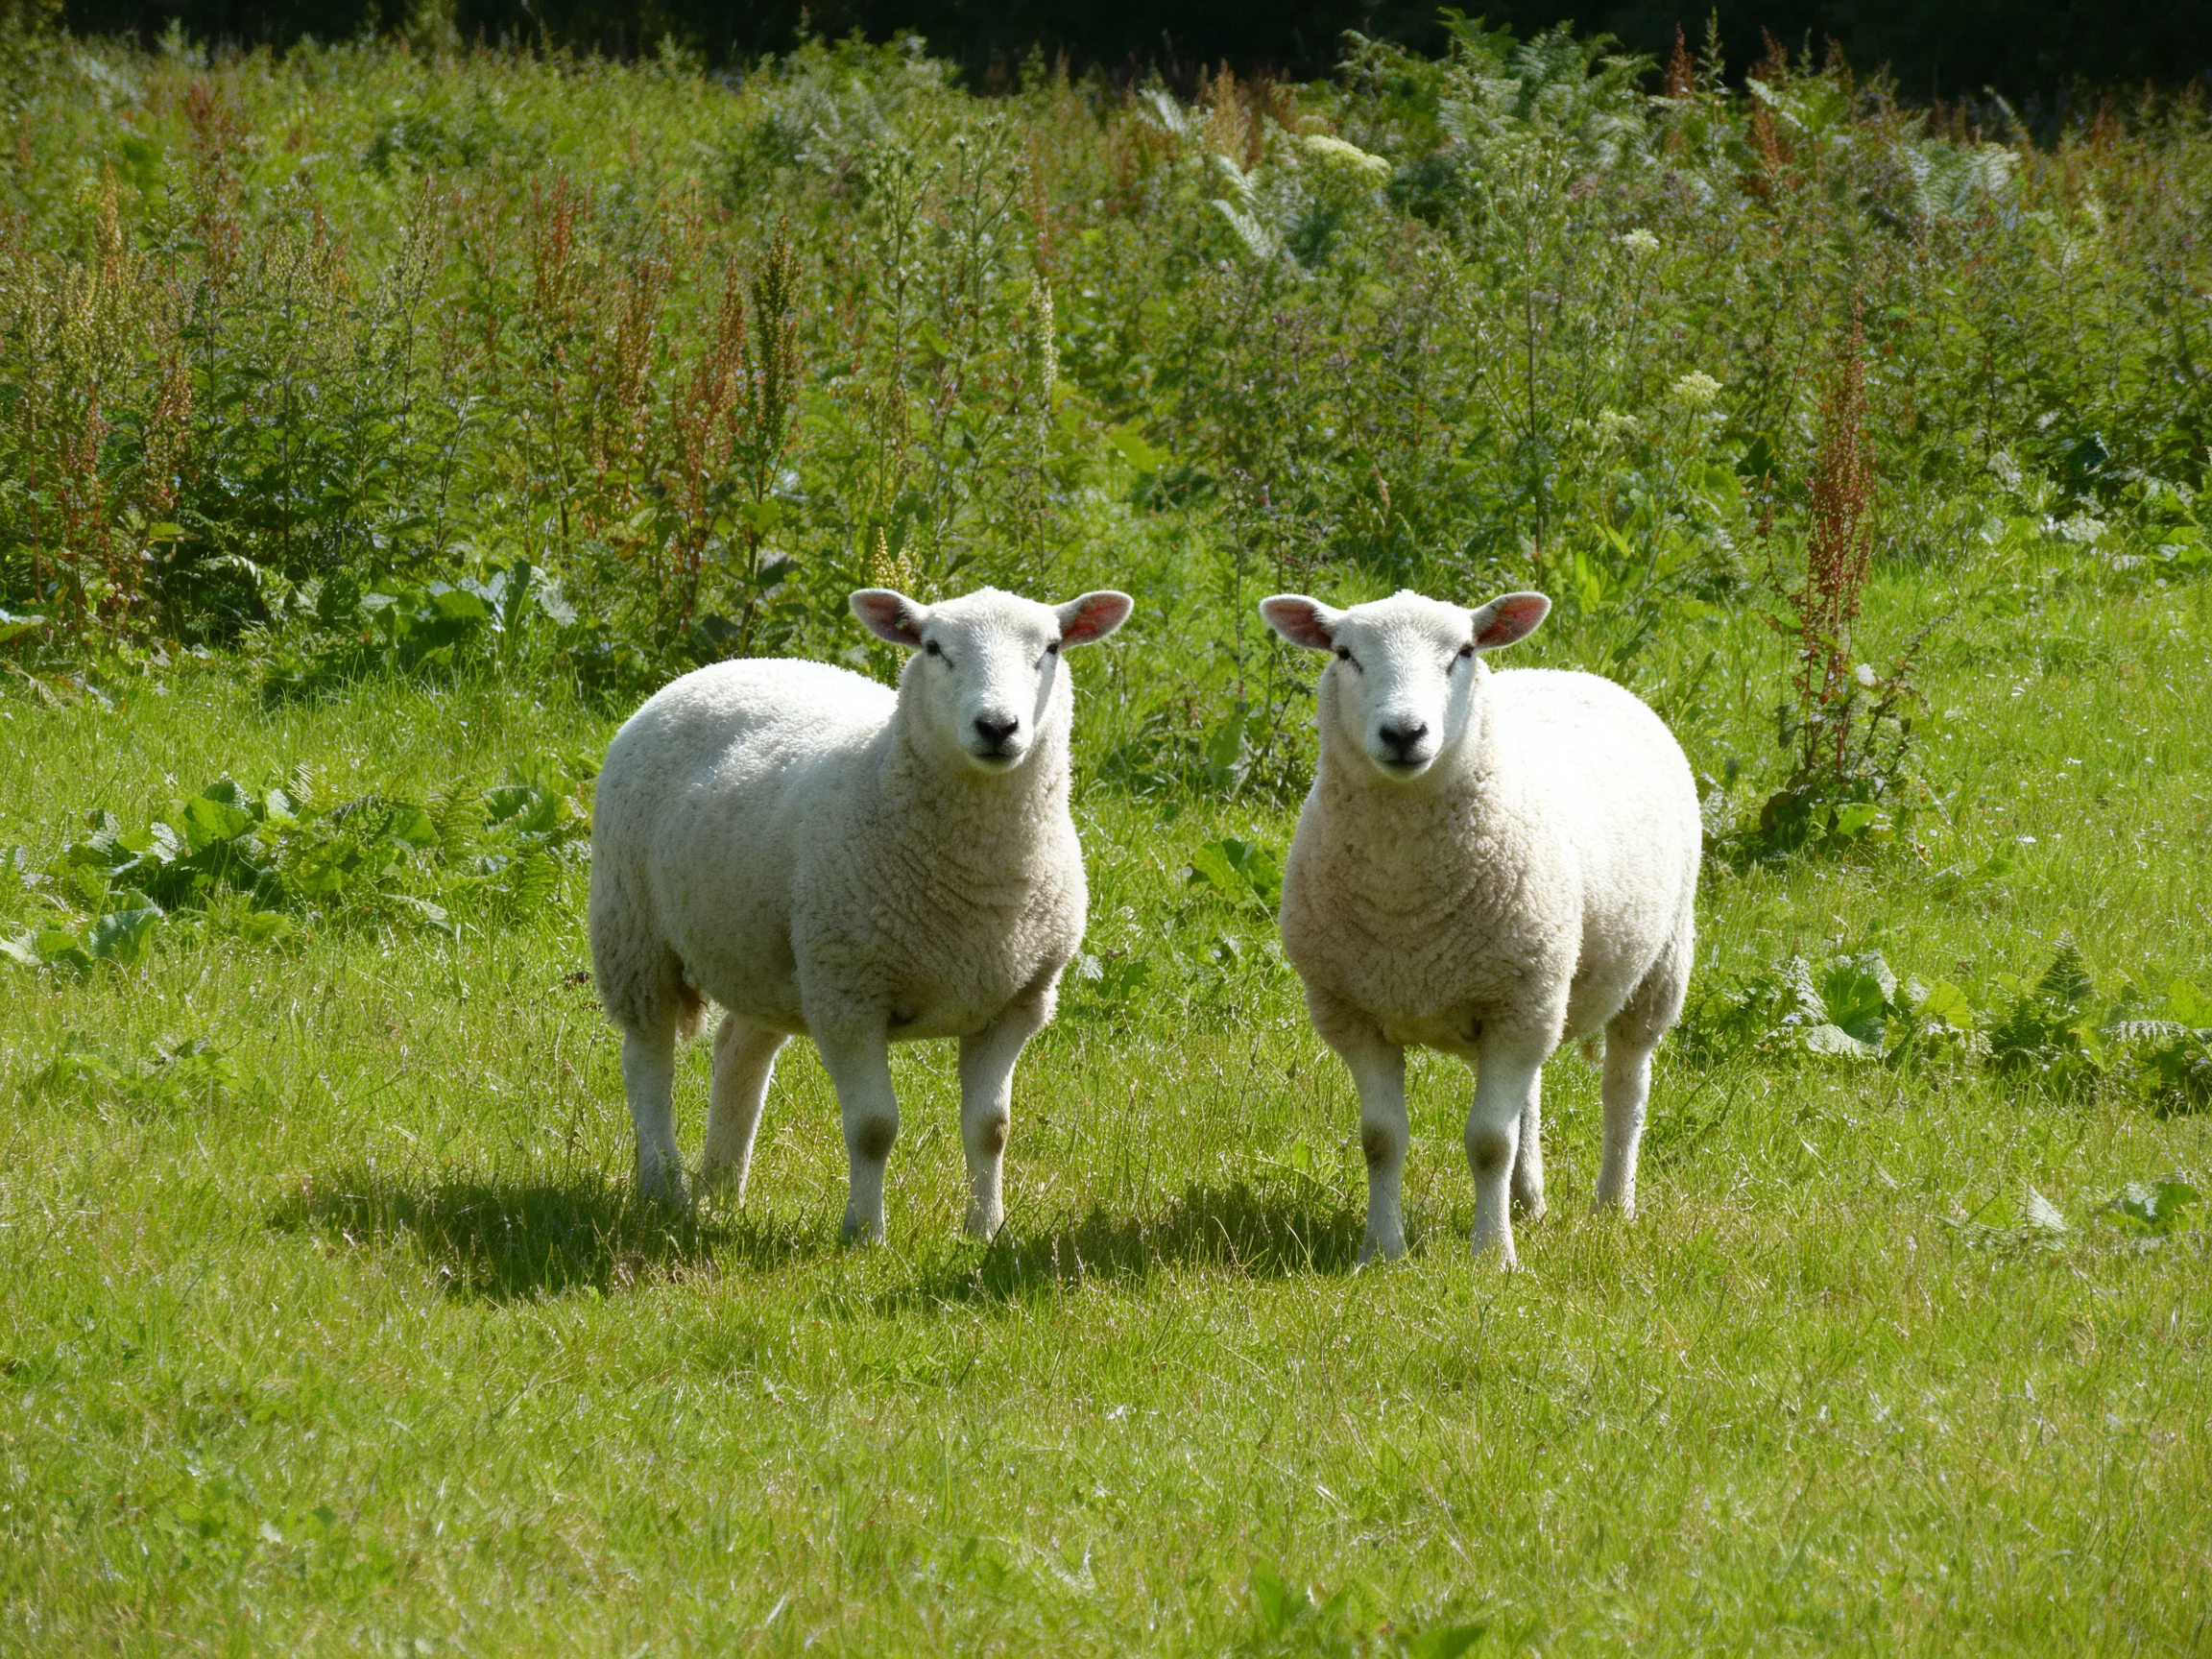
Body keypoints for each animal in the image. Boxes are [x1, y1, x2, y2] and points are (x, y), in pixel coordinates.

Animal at [588, 584, 1133, 1242]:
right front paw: (865, 1235)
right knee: (648, 1061)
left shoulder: (1016, 1002)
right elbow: (874, 1127)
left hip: (771, 952)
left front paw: (984, 1231)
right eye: (933, 648)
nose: (997, 726)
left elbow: (991, 1129)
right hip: (634, 931)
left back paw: (720, 1189)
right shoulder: (849, 997)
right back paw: (664, 1187)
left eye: (1051, 648)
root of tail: (719, 667)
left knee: (739, 1050)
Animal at [1258, 588, 1701, 1270]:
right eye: (1344, 653)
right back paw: (1528, 1201)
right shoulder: (1355, 1014)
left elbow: (1489, 1141)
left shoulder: (1517, 1007)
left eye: (1463, 652)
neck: (1406, 910)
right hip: (1535, 986)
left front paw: (1492, 1256)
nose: (1404, 733)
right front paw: (1379, 1252)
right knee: (1532, 1097)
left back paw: (1612, 1206)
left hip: (1653, 966)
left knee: (1625, 1086)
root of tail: (1567, 672)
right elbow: (1381, 1139)